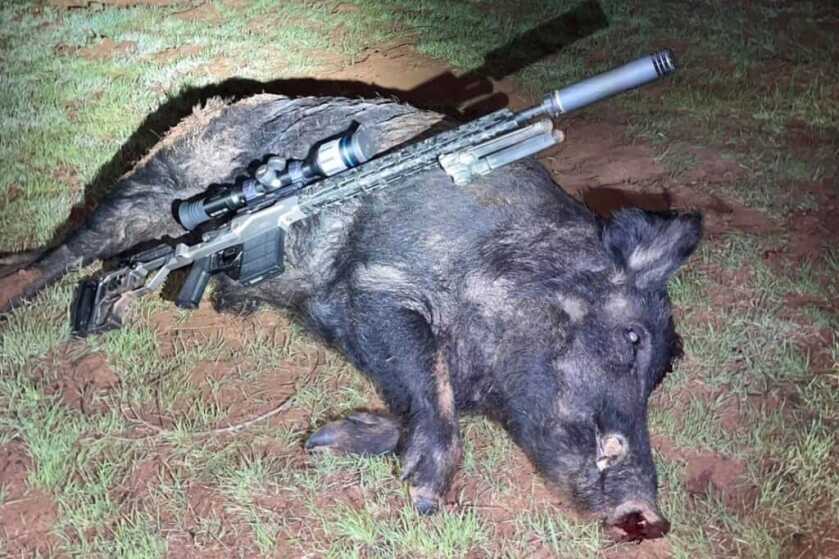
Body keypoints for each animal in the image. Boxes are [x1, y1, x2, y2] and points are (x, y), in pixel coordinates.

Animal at [0, 94, 701, 539]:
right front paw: (425, 499)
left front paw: (324, 440)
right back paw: (64, 307)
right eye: (629, 337)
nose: (650, 518)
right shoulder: (371, 288)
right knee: (69, 251)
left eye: (661, 374)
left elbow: (420, 401)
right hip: (148, 186)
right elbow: (430, 386)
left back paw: (231, 302)